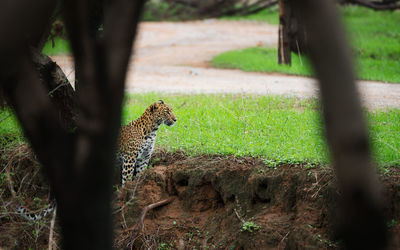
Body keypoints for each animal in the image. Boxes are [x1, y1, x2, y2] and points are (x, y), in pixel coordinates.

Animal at [16, 99, 177, 221]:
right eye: (167, 111)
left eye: (171, 110)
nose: (175, 119)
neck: (152, 130)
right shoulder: (130, 158)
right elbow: (127, 178)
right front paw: (125, 192)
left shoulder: (144, 158)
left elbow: (139, 175)